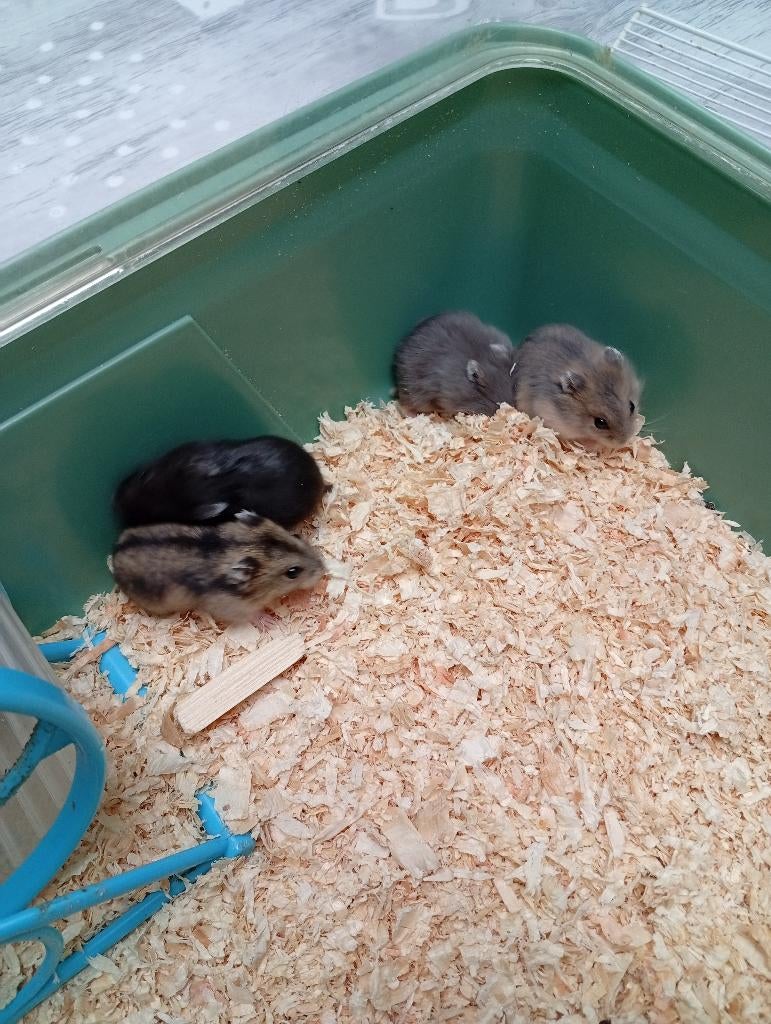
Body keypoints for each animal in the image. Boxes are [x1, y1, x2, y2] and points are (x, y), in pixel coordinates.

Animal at [111, 515, 326, 623]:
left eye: (296, 536)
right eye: (292, 573)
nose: (323, 568)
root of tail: (114, 555)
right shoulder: (229, 607)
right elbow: (253, 615)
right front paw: (270, 621)